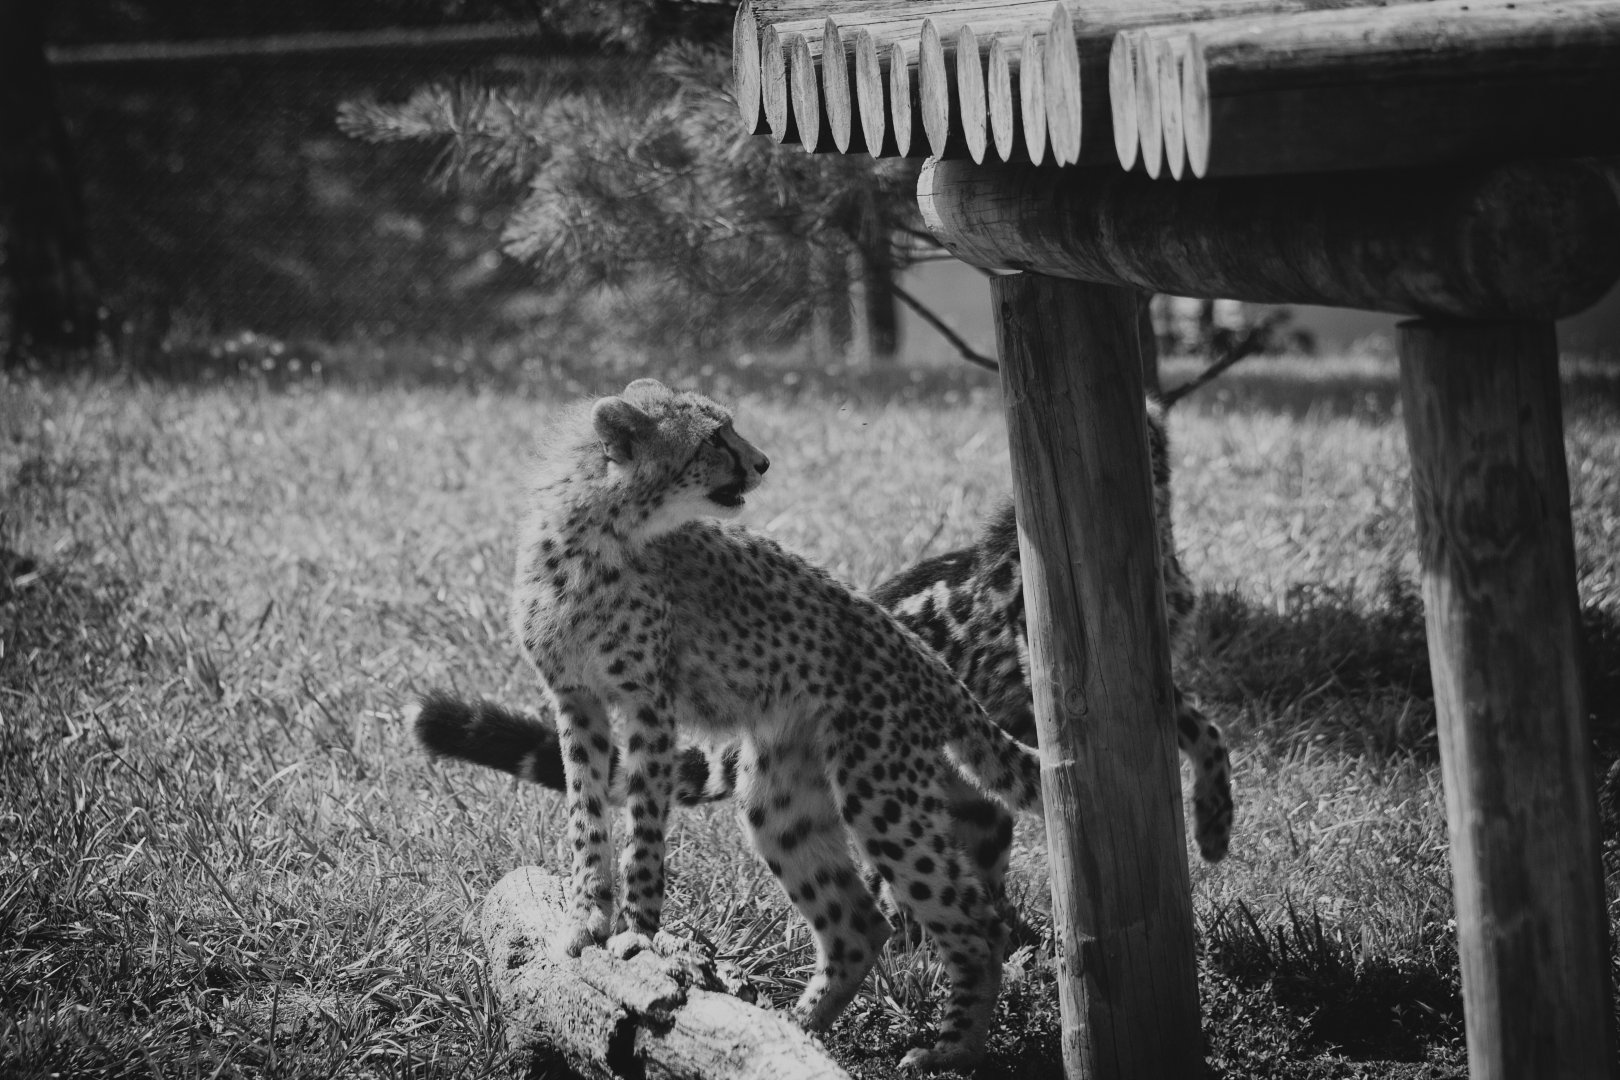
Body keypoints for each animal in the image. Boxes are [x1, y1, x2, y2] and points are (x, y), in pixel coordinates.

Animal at [482, 377, 1060, 1072]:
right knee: (859, 922)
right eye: (714, 438)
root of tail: (927, 658)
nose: (762, 463)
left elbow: (643, 826)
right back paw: (797, 1028)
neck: (598, 531)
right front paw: (586, 918)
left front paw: (639, 935)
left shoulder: (649, 703)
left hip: (880, 790)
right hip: (779, 799)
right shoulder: (577, 702)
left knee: (975, 922)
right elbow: (585, 816)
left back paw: (949, 1051)